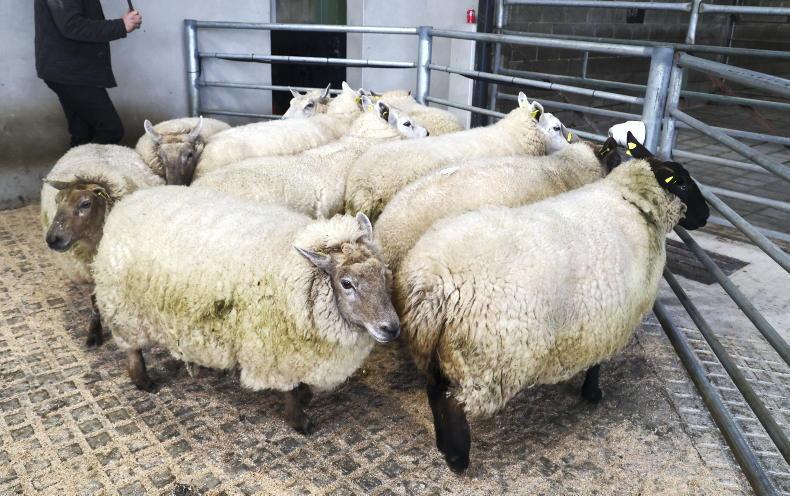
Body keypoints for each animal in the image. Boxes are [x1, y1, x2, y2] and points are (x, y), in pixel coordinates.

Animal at [40, 144, 164, 346]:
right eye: (57, 201)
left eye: (85, 204)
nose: (52, 239)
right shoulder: (90, 268)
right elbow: (93, 298)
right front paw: (94, 331)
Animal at [92, 186, 400, 434]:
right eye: (347, 283)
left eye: (383, 273)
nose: (391, 328)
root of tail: (130, 200)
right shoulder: (273, 350)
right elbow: (289, 391)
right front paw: (299, 420)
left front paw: (305, 396)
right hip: (125, 307)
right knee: (132, 347)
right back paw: (143, 381)